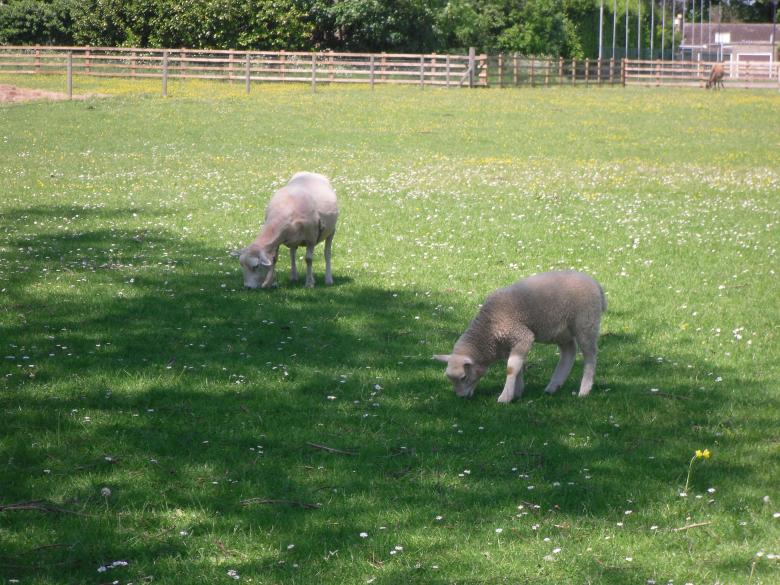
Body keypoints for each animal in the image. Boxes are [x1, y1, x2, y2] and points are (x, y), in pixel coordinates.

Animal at [434, 271, 606, 403]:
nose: (461, 397)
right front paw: (517, 392)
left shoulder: (522, 336)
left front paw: (505, 397)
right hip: (562, 330)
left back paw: (584, 389)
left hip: (586, 322)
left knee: (590, 354)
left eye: (463, 377)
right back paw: (553, 386)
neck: (489, 328)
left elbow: (511, 368)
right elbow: (518, 367)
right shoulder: (510, 344)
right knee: (569, 351)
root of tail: (596, 284)